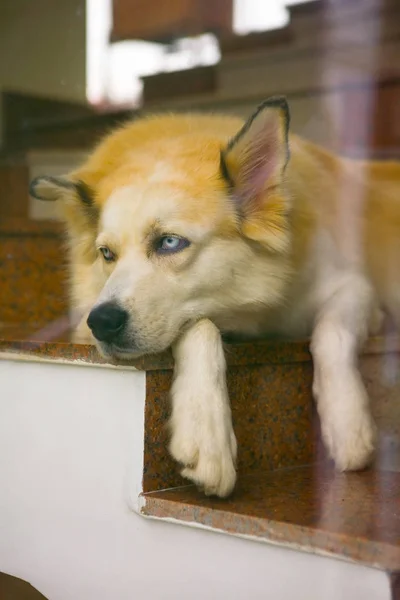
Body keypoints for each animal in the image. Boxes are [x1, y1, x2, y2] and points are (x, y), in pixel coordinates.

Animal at [31, 97, 400, 496]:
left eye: (169, 242)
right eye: (106, 254)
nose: (101, 323)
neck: (257, 312)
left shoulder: (354, 288)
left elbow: (333, 333)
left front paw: (349, 426)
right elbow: (201, 324)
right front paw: (205, 433)